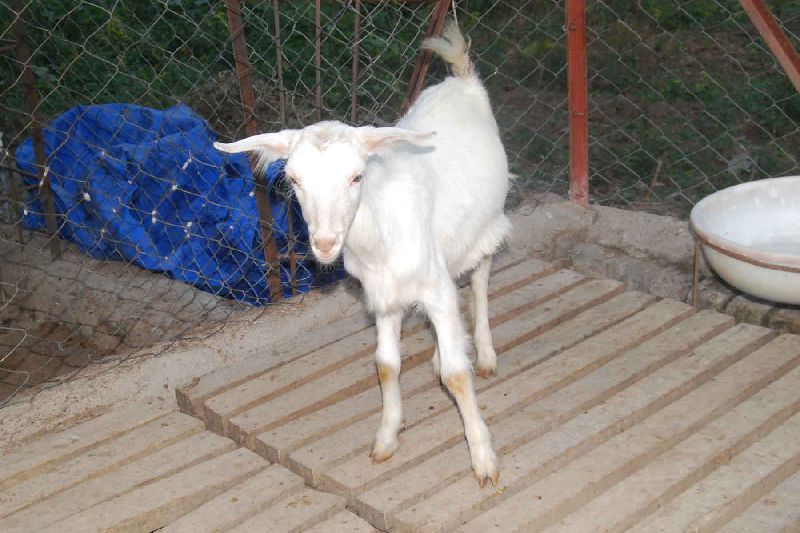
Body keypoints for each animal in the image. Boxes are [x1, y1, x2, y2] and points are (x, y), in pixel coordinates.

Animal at [215, 21, 509, 487]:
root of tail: (462, 79)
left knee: (480, 276)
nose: (324, 244)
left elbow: (457, 375)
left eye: (357, 176)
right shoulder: (382, 294)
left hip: (489, 223)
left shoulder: (434, 286)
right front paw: (386, 438)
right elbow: (386, 364)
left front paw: (483, 460)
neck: (382, 228)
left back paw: (484, 353)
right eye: (293, 179)